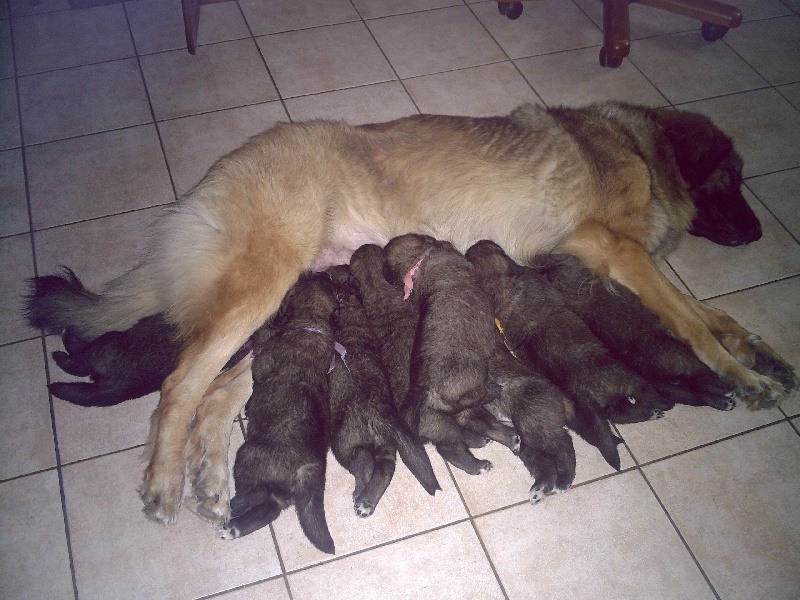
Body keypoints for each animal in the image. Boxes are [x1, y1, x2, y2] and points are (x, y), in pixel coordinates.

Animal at [222, 272, 338, 552]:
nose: (324, 271)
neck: (311, 322)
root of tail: (309, 470)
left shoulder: (262, 363)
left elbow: (258, 364)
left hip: (247, 458)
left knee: (253, 496)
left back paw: (227, 509)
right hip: (279, 495)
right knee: (268, 510)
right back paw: (233, 528)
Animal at [324, 264, 438, 516]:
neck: (352, 313)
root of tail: (380, 414)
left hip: (345, 443)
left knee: (364, 464)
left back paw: (360, 494)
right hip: (386, 446)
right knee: (385, 469)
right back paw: (367, 502)